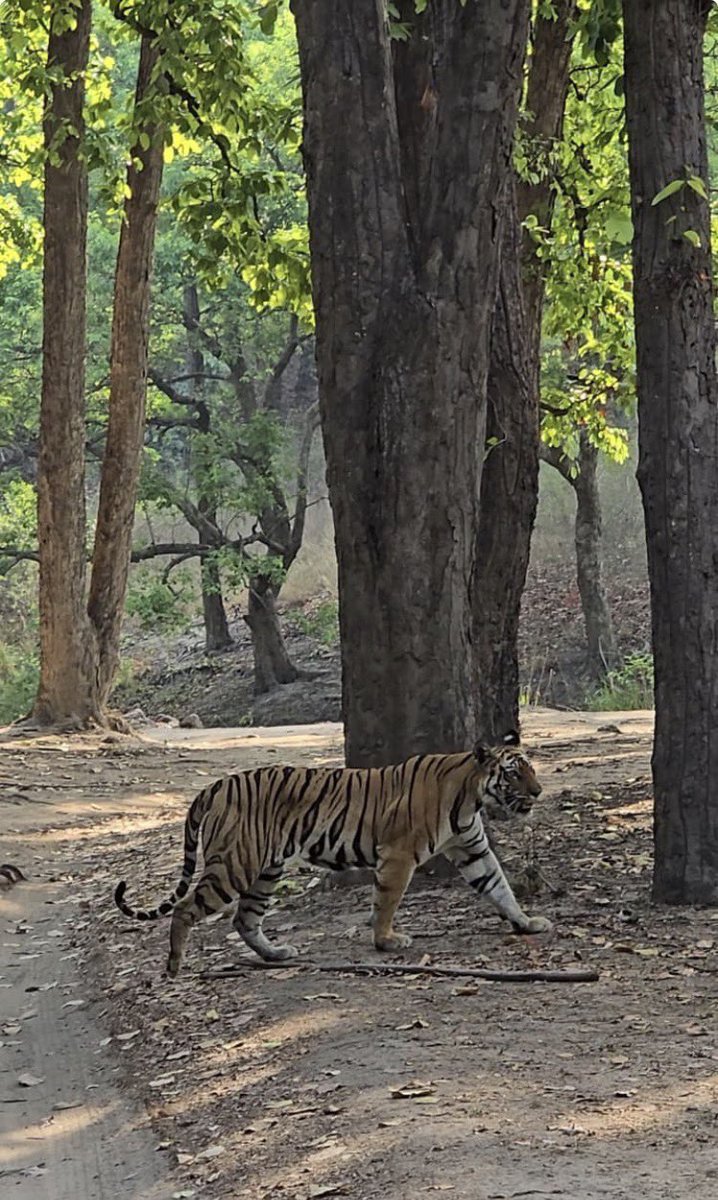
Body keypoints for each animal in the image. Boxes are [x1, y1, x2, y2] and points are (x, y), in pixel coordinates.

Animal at [114, 729, 551, 977]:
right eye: (514, 773)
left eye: (531, 769)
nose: (539, 791)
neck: (470, 797)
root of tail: (215, 785)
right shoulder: (398, 854)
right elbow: (387, 901)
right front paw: (386, 941)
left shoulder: (472, 848)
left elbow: (499, 887)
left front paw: (527, 923)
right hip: (236, 864)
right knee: (186, 907)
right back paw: (174, 965)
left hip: (266, 869)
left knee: (244, 918)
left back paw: (276, 953)